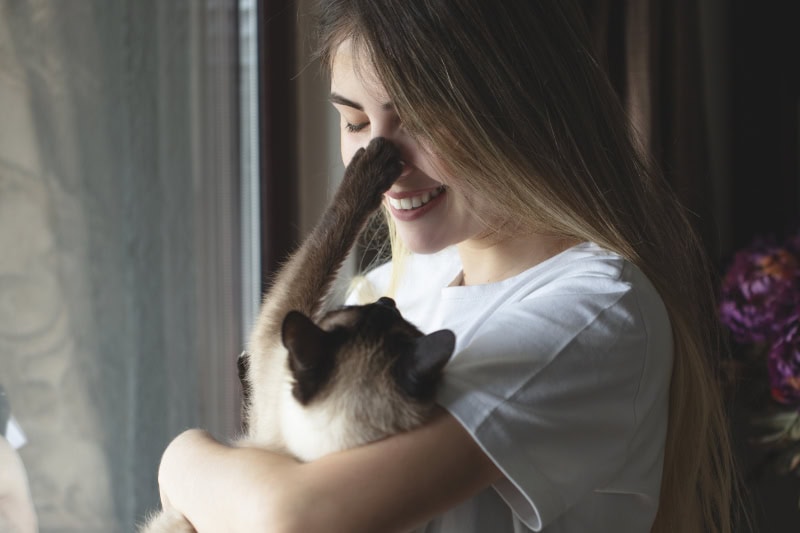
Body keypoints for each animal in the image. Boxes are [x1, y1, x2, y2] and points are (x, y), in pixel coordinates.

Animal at [141, 138, 456, 532]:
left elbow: (321, 246)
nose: (387, 301)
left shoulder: (277, 327)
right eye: (384, 312)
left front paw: (373, 162)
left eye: (342, 315)